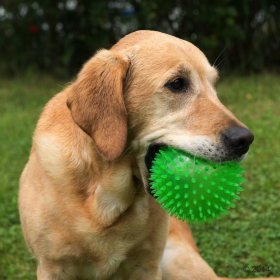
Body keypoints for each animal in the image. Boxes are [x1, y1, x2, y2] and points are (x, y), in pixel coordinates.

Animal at [18, 30, 276, 280]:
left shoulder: (147, 265)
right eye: (177, 83)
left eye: (214, 86)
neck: (105, 197)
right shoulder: (52, 267)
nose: (245, 140)